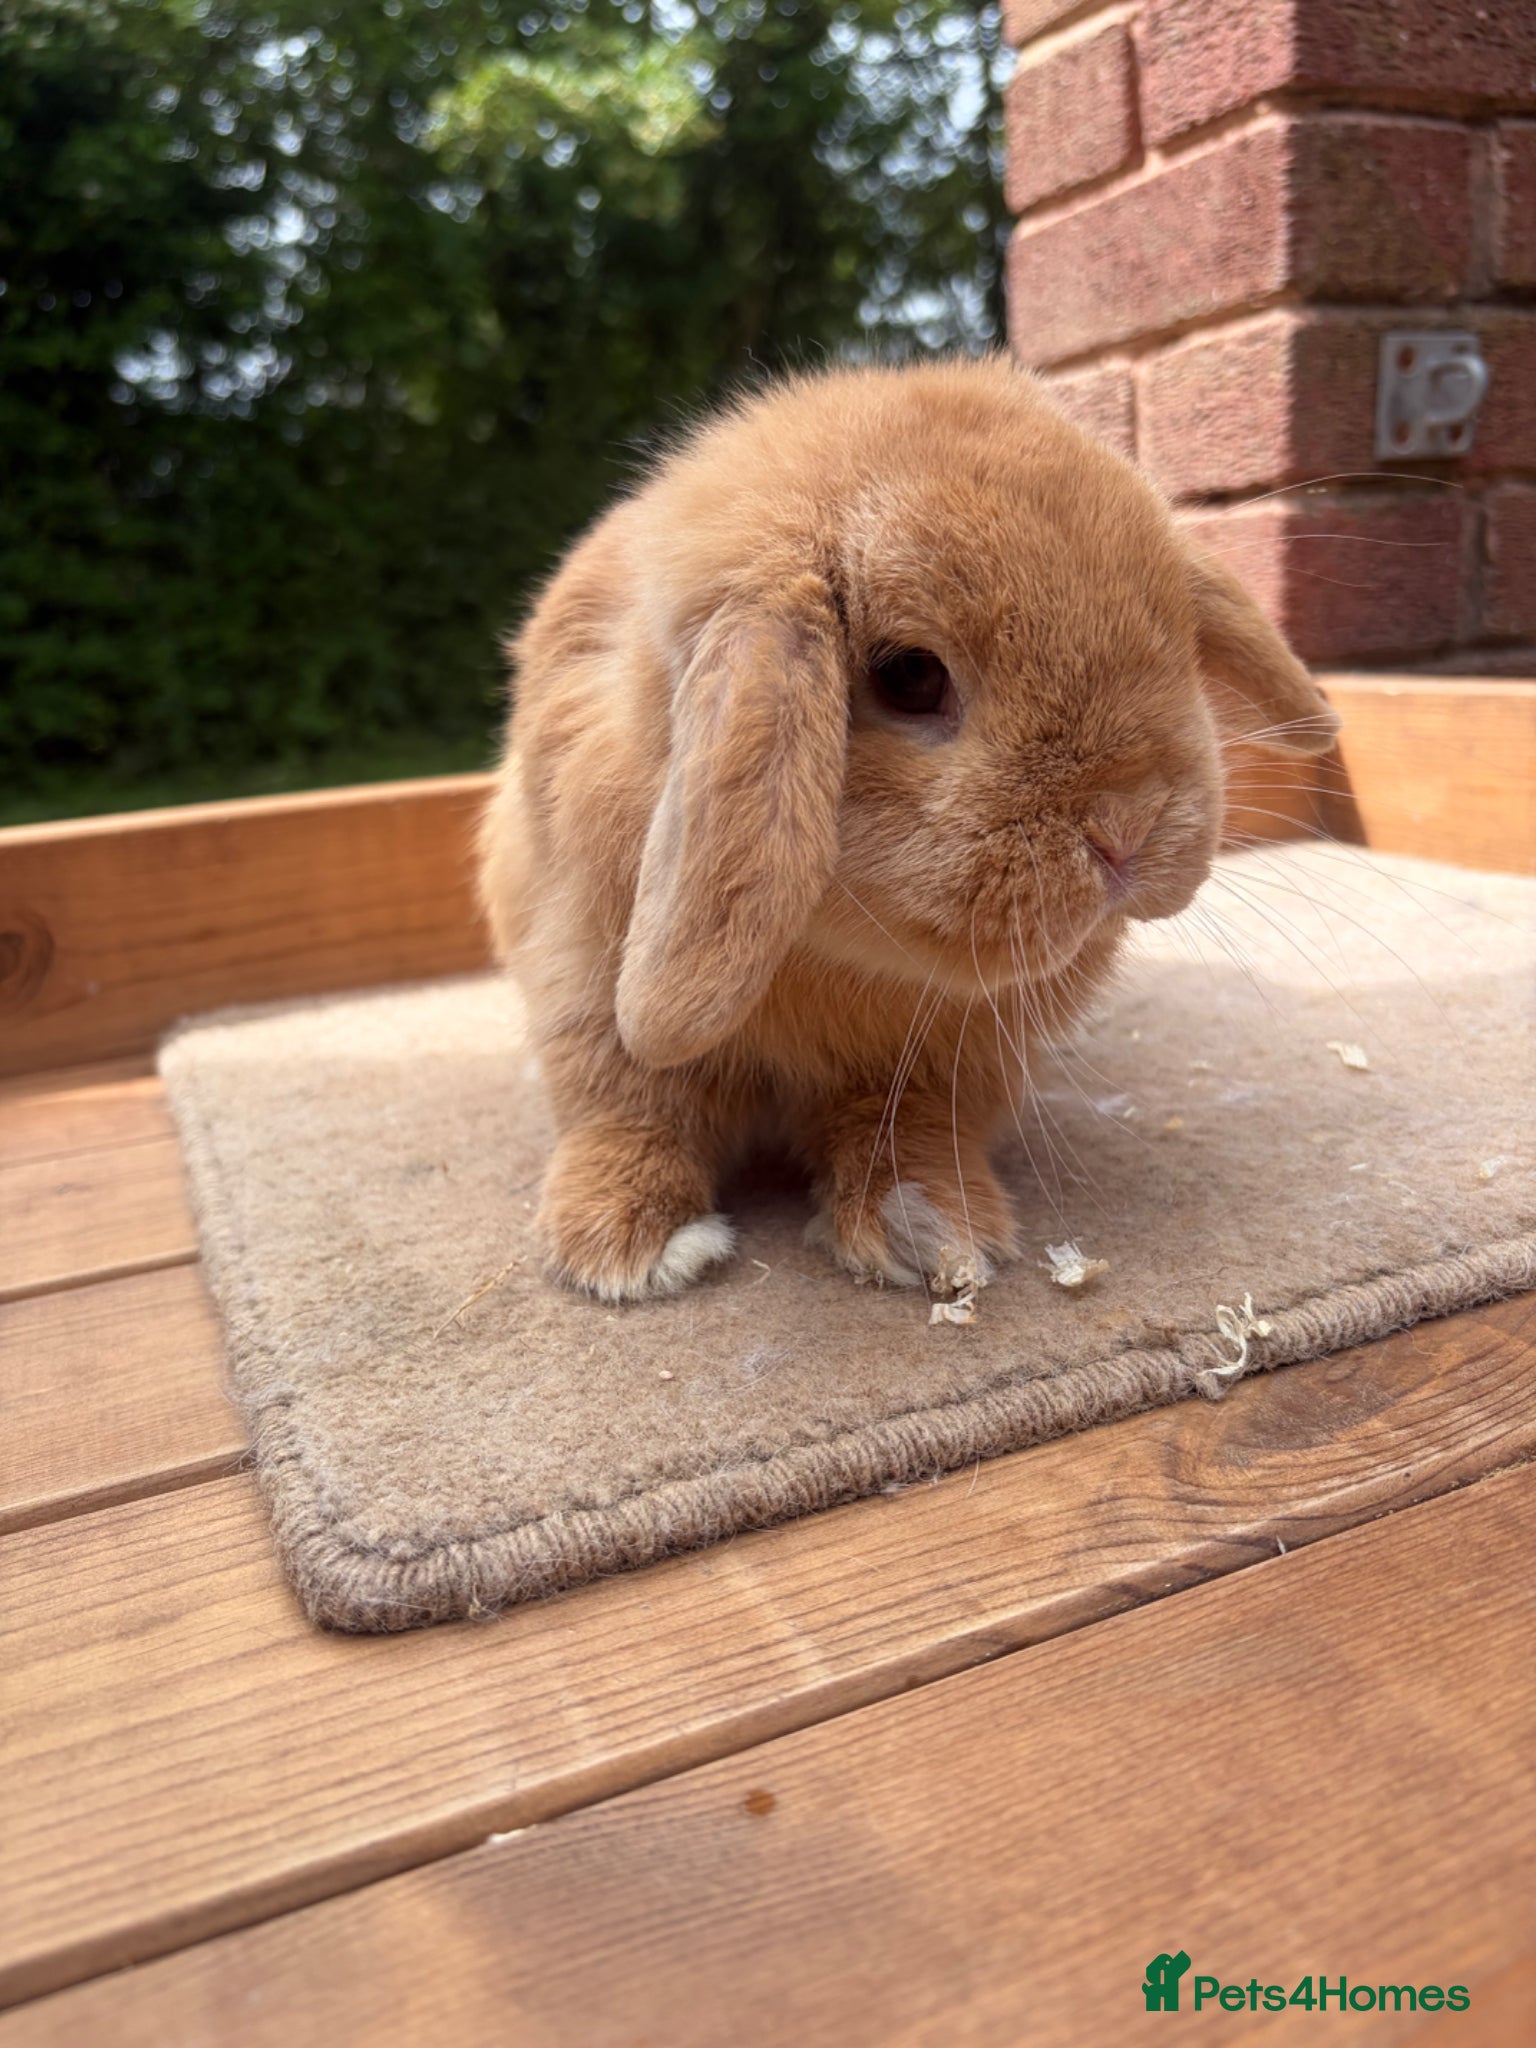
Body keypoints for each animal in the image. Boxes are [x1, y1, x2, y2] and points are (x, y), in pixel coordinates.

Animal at [477, 355, 1338, 1304]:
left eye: (1177, 634)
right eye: (911, 676)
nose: (1130, 826)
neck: (828, 955)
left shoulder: (950, 1058)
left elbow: (910, 1128)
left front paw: (929, 1232)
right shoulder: (581, 978)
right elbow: (628, 1101)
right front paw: (632, 1249)